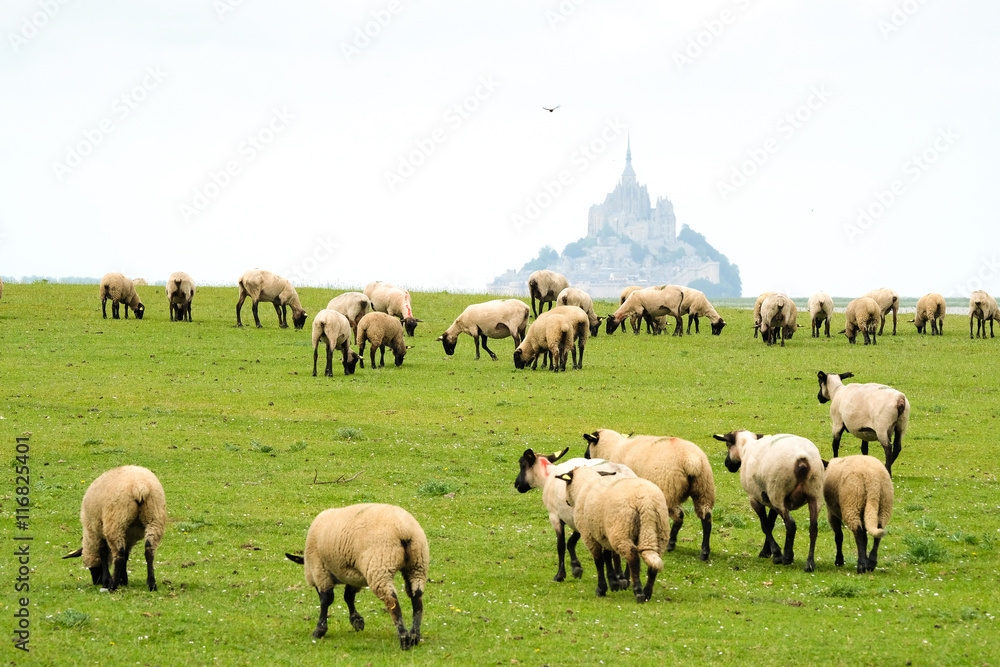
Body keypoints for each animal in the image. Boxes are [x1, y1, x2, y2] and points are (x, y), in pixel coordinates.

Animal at [284, 503, 428, 650]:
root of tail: (404, 530)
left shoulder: (320, 569)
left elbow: (326, 599)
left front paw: (319, 630)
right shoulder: (353, 574)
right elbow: (348, 596)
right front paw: (357, 621)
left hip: (380, 566)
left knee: (391, 600)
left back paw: (404, 639)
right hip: (418, 564)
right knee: (417, 597)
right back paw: (415, 636)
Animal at [513, 447, 636, 585]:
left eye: (522, 464)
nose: (516, 484)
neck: (548, 475)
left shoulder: (554, 515)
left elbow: (561, 545)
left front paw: (560, 575)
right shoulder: (577, 518)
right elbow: (571, 542)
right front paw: (576, 568)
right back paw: (626, 577)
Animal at [555, 465, 671, 603]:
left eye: (566, 483)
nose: (566, 501)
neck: (585, 484)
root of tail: (646, 502)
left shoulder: (589, 535)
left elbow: (599, 561)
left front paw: (601, 589)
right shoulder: (603, 534)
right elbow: (607, 556)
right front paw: (614, 582)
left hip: (621, 531)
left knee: (632, 556)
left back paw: (638, 592)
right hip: (660, 532)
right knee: (653, 561)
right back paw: (647, 593)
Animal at [582, 428, 715, 561]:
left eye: (589, 442)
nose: (585, 456)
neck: (612, 449)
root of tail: (692, 461)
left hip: (669, 491)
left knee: (679, 516)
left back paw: (671, 544)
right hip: (704, 488)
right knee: (706, 517)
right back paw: (704, 552)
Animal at [712, 430, 824, 572]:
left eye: (728, 445)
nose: (727, 464)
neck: (746, 448)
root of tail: (803, 459)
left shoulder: (755, 498)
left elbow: (765, 526)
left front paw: (776, 554)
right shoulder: (771, 502)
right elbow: (770, 524)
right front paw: (766, 552)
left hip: (778, 491)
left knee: (791, 524)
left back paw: (787, 557)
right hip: (814, 493)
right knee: (813, 527)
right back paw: (810, 563)